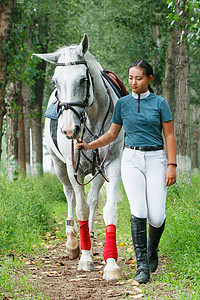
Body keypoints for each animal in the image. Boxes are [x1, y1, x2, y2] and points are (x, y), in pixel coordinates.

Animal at [34, 34, 125, 280]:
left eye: (83, 79)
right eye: (55, 82)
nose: (68, 129)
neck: (91, 119)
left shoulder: (112, 164)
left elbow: (108, 209)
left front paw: (111, 264)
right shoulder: (74, 169)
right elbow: (80, 208)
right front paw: (84, 257)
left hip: (97, 170)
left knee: (92, 199)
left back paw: (90, 234)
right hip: (59, 166)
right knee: (70, 197)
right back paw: (73, 241)